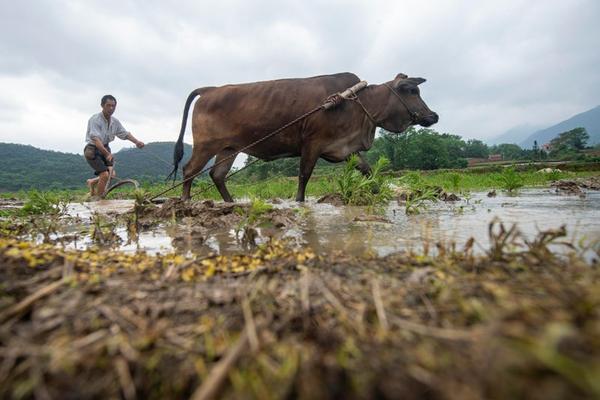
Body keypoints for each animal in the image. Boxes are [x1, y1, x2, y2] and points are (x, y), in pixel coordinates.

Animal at [171, 72, 438, 202]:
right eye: (411, 90)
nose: (433, 116)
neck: (358, 105)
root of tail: (210, 90)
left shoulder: (346, 148)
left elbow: (368, 170)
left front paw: (378, 191)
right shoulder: (312, 143)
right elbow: (304, 176)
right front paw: (299, 202)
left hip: (229, 149)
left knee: (217, 175)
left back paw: (230, 203)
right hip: (206, 145)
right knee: (189, 170)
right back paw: (185, 201)